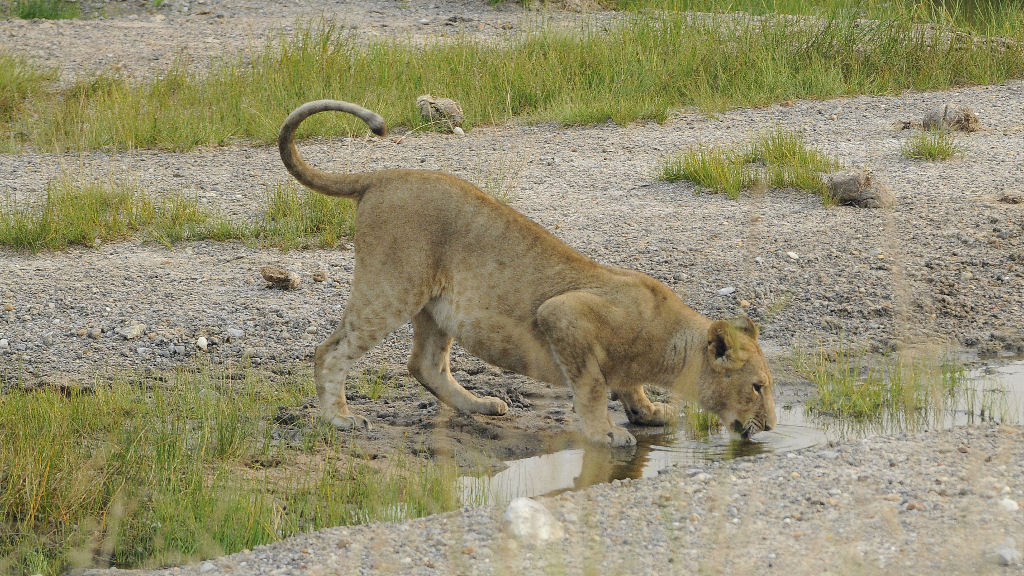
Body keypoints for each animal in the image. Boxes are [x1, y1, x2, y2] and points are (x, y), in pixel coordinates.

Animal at [278, 100, 776, 447]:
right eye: (756, 387)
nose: (772, 426)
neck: (671, 343)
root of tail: (381, 177)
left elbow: (628, 386)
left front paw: (649, 411)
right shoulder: (563, 315)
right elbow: (592, 386)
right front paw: (607, 433)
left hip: (434, 306)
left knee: (424, 364)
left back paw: (482, 406)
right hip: (392, 286)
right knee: (330, 350)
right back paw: (340, 418)